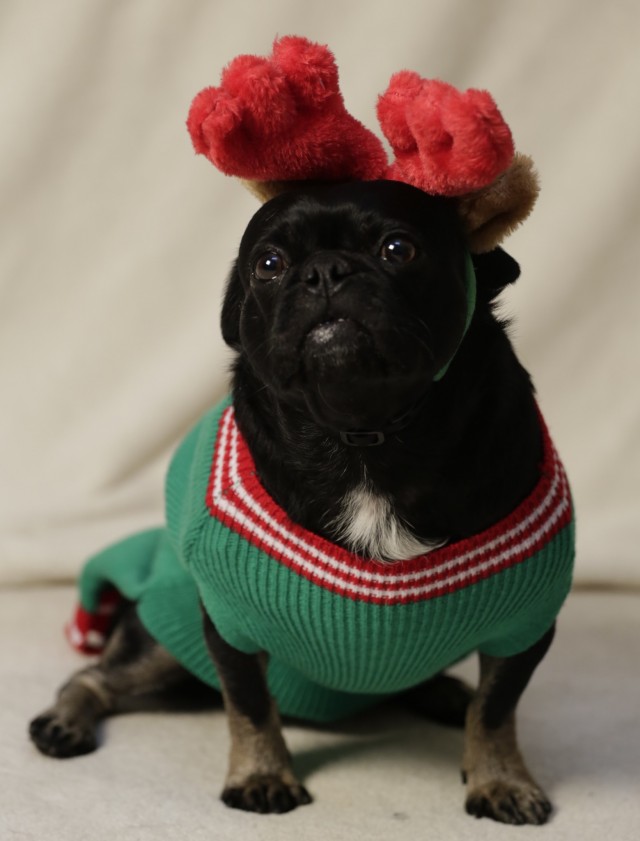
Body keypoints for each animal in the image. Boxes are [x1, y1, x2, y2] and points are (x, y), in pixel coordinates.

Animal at [28, 179, 576, 828]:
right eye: (269, 264)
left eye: (398, 249)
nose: (325, 271)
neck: (364, 431)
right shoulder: (229, 624)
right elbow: (249, 705)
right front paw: (261, 774)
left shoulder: (523, 625)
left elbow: (494, 711)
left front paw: (499, 779)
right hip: (163, 637)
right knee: (96, 677)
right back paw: (64, 720)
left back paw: (443, 692)